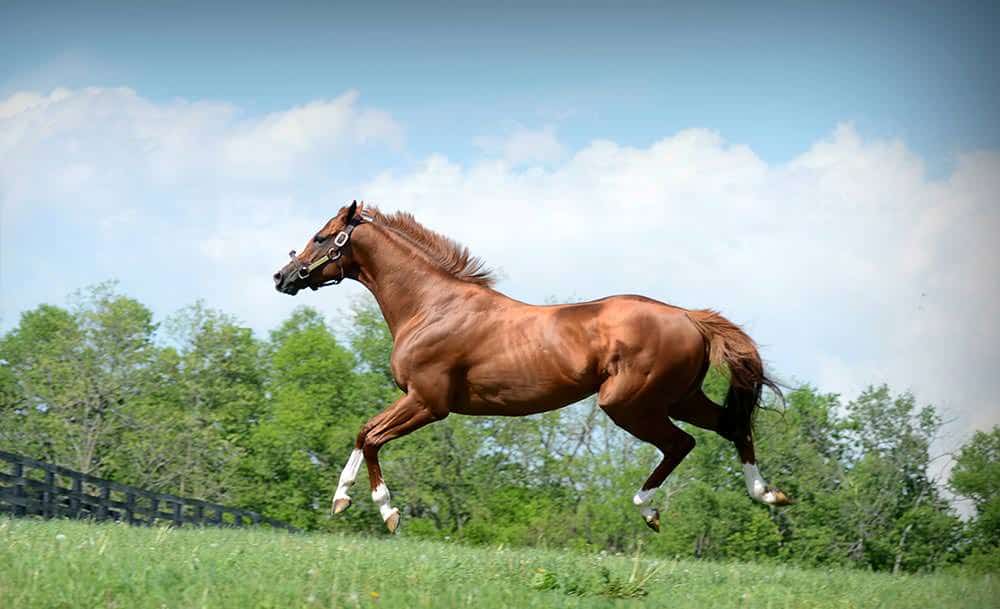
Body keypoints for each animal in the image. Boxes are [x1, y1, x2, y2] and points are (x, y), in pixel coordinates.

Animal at [273, 201, 791, 533]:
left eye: (321, 236)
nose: (282, 276)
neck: (431, 306)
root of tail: (688, 316)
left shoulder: (427, 402)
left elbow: (372, 437)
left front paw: (387, 512)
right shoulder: (416, 401)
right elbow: (363, 432)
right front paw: (341, 499)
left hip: (629, 404)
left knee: (682, 443)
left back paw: (649, 510)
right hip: (679, 397)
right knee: (732, 425)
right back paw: (767, 494)